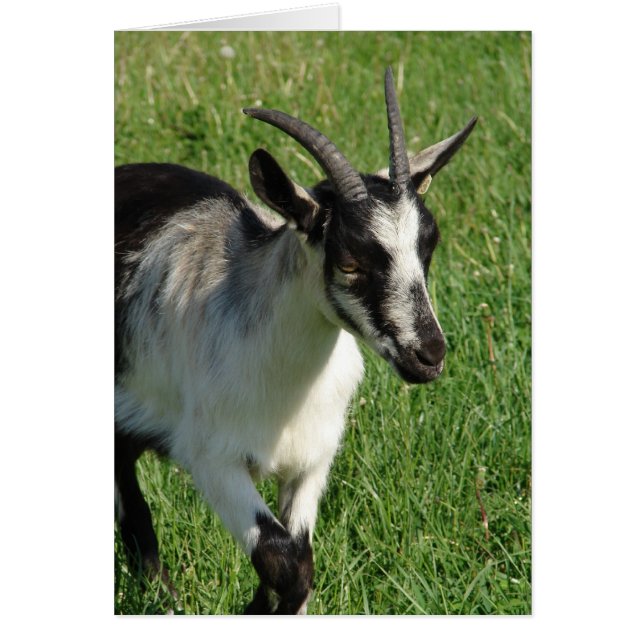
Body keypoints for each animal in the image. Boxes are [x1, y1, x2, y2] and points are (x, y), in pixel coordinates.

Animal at [114, 67, 476, 615]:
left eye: (429, 245)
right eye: (348, 262)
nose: (428, 354)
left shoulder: (312, 459)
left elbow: (295, 563)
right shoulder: (212, 457)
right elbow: (285, 563)